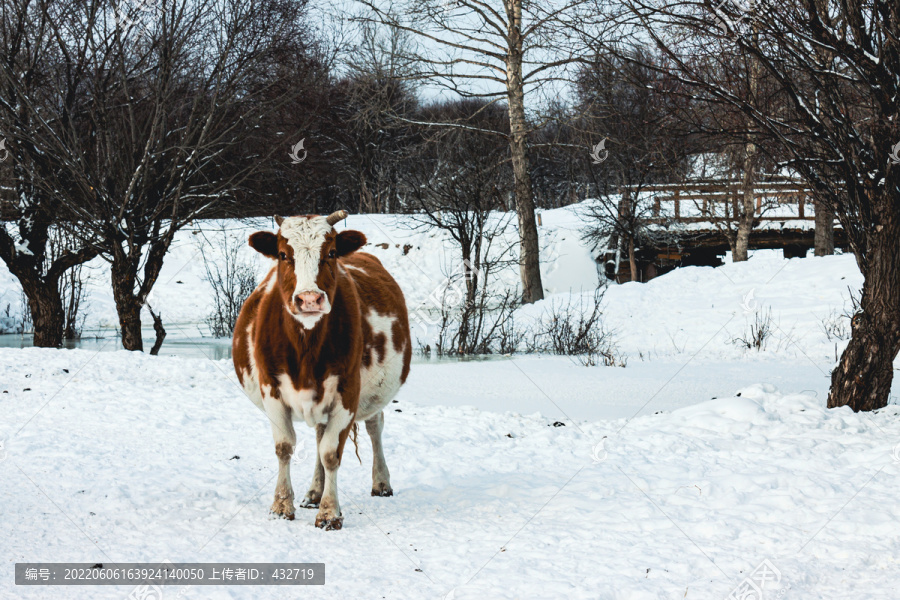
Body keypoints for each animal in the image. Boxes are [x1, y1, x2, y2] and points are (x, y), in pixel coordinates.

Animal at [234, 211, 414, 528]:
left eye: (330, 253)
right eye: (283, 254)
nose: (308, 299)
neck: (306, 349)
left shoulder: (348, 392)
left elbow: (331, 453)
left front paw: (330, 513)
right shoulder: (271, 389)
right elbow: (285, 448)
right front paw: (282, 506)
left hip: (373, 393)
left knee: (374, 427)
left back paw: (381, 482)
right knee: (319, 435)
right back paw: (313, 493)